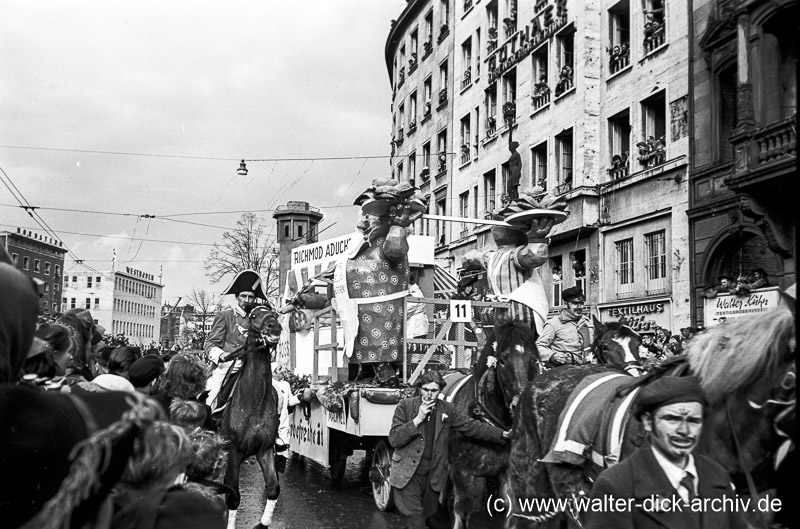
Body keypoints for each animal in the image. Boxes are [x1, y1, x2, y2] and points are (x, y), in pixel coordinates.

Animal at [217, 306, 282, 528]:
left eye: (274, 313)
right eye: (254, 316)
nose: (274, 327)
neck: (255, 401)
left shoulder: (265, 449)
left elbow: (273, 488)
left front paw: (263, 523)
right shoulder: (234, 452)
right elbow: (233, 495)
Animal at [440, 318, 540, 528]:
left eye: (534, 359)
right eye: (502, 360)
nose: (520, 404)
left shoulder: (509, 473)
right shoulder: (461, 470)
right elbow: (463, 511)